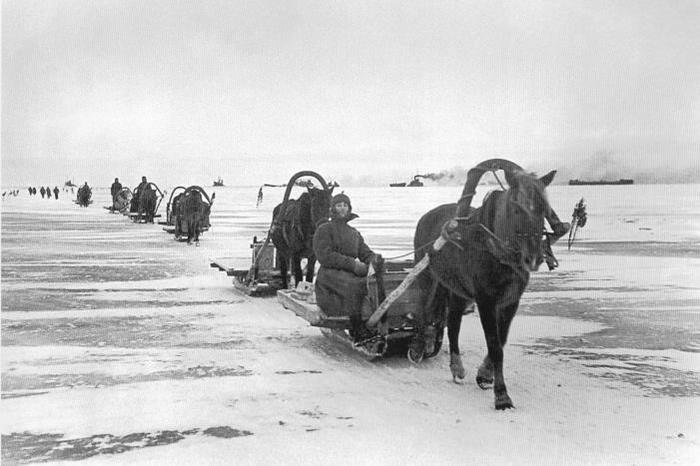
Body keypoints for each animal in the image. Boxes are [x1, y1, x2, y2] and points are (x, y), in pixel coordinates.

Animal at [412, 158, 568, 410]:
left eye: (544, 209)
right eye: (516, 208)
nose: (534, 258)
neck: (498, 251)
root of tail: (427, 216)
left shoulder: (511, 300)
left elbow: (501, 341)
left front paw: (485, 375)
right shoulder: (485, 300)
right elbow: (495, 347)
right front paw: (502, 396)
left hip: (457, 289)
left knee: (453, 322)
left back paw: (456, 367)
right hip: (426, 274)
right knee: (422, 307)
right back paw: (418, 346)